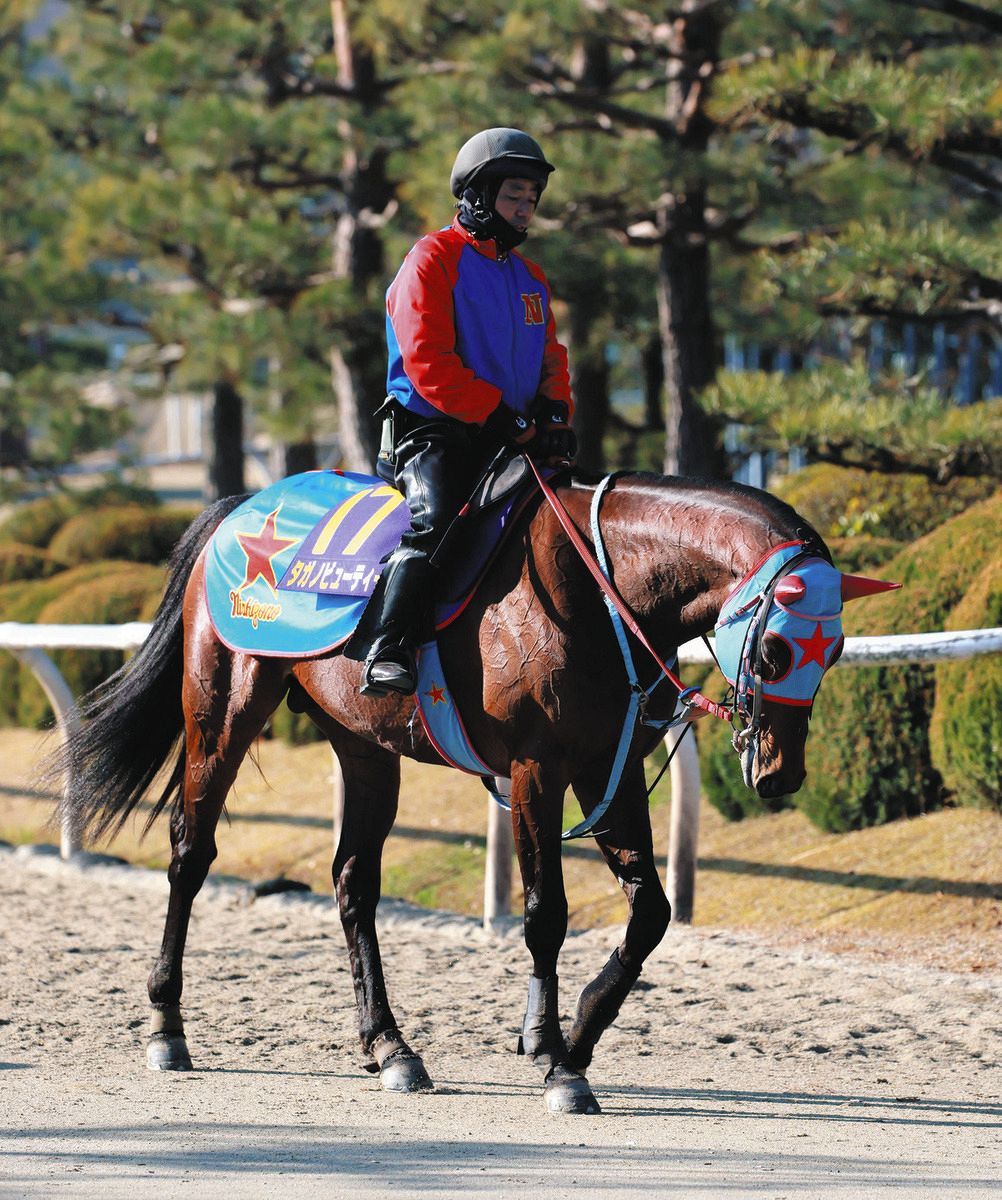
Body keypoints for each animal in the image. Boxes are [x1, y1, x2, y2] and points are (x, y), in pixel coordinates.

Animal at [58, 467, 888, 1115]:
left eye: (837, 648)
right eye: (777, 650)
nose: (780, 772)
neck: (595, 589)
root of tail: (239, 508)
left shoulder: (609, 766)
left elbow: (651, 912)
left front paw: (577, 1031)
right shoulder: (536, 769)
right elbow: (546, 913)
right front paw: (557, 1061)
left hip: (364, 746)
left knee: (353, 882)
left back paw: (390, 1046)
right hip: (223, 708)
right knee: (190, 853)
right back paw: (167, 1027)